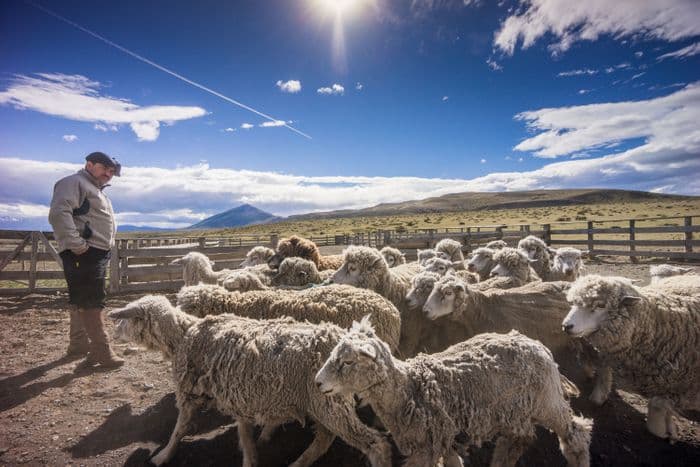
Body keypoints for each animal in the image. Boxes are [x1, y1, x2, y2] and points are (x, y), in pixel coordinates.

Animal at [110, 296, 394, 467]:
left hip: (328, 403)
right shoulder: (240, 395)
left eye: (128, 318)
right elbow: (245, 436)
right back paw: (299, 462)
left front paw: (163, 455)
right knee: (325, 438)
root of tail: (339, 337)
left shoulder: (188, 393)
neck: (183, 336)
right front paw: (254, 453)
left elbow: (179, 429)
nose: (115, 332)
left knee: (375, 444)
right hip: (323, 402)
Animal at [316, 320, 592, 467]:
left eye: (348, 361)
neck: (409, 388)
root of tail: (538, 346)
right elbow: (454, 462)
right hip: (516, 413)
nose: (317, 382)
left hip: (548, 403)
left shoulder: (426, 446)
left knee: (575, 435)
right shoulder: (442, 437)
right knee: (515, 442)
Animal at [564, 272, 700, 440]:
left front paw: (662, 431)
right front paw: (668, 428)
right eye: (573, 303)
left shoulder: (686, 385)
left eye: (601, 305)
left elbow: (657, 404)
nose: (566, 326)